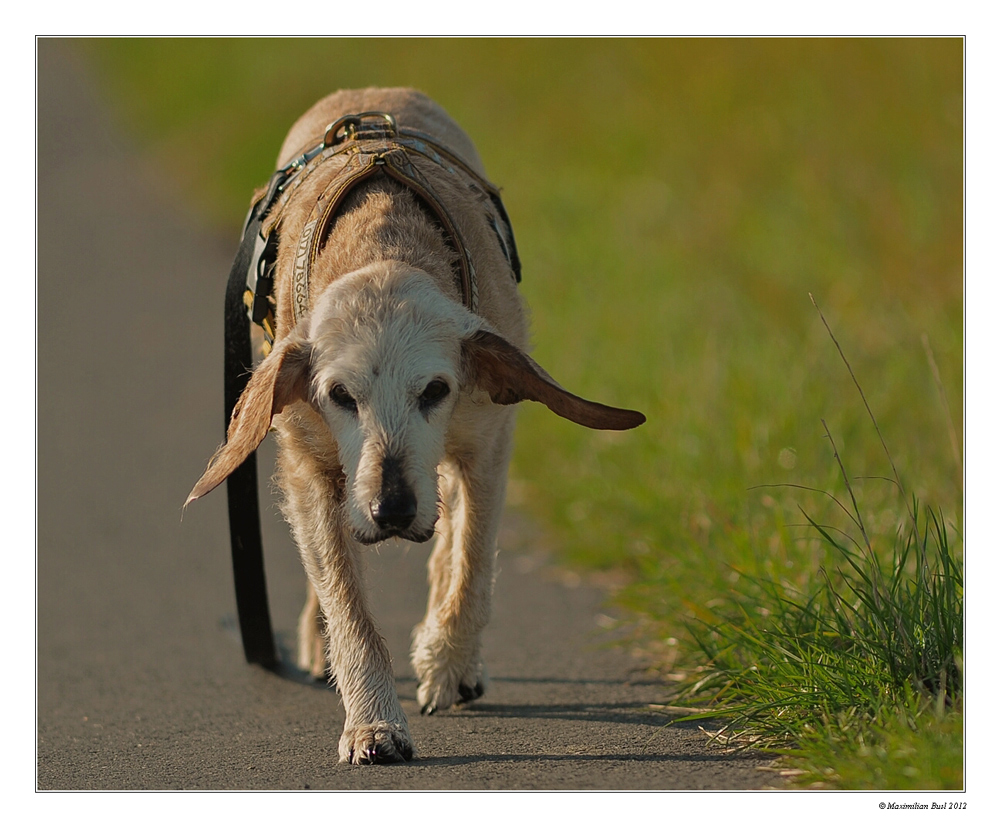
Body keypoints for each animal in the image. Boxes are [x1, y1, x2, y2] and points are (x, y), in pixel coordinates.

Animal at [188, 89, 644, 764]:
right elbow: (346, 603)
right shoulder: (310, 470)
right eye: (339, 394)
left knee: (451, 540)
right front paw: (373, 723)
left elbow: (471, 563)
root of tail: (371, 96)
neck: (383, 246)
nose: (393, 511)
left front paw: (448, 663)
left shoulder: (485, 447)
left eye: (434, 389)